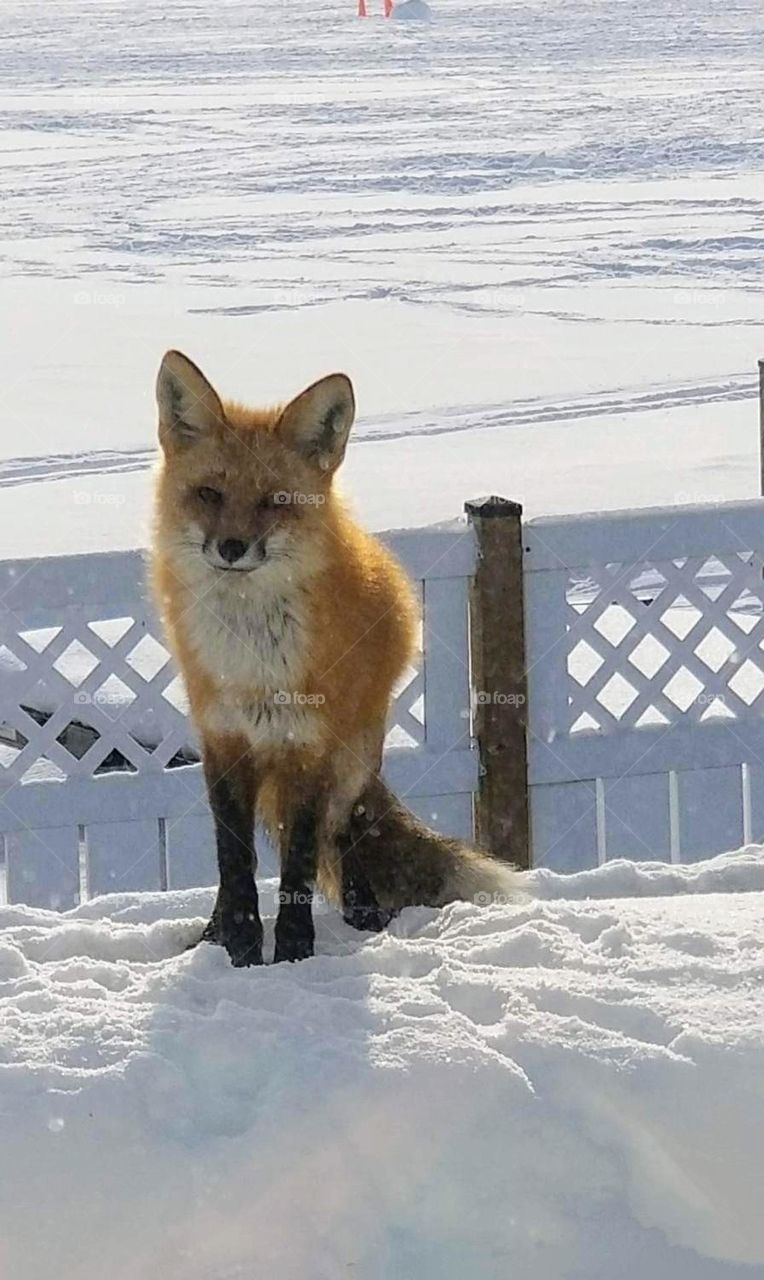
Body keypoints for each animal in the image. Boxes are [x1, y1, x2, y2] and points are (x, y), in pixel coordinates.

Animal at [151, 349, 517, 966]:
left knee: (348, 832)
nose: (231, 548)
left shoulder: (308, 747)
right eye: (209, 494)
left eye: (275, 501)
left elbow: (298, 864)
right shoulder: (222, 743)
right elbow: (234, 861)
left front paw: (292, 954)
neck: (253, 663)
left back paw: (364, 917)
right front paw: (235, 948)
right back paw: (211, 934)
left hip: (352, 761)